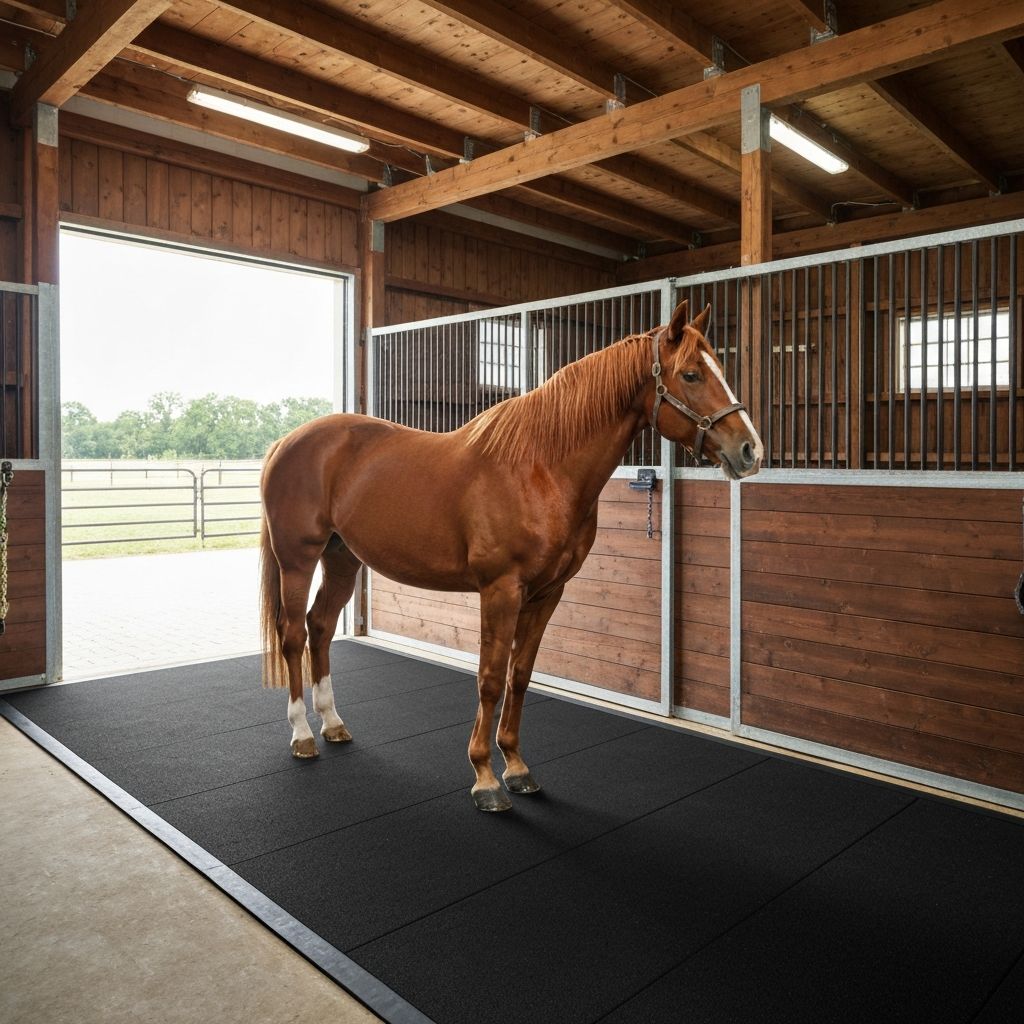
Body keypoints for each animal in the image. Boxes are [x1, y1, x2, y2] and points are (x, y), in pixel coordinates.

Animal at [259, 299, 763, 812]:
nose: (750, 450)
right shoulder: (500, 590)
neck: (540, 468)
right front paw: (484, 778)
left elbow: (520, 676)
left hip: (342, 559)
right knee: (294, 634)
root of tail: (286, 442)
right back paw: (303, 735)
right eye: (692, 374)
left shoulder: (548, 593)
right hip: (298, 559)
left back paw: (333, 725)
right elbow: (490, 677)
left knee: (321, 627)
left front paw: (517, 768)